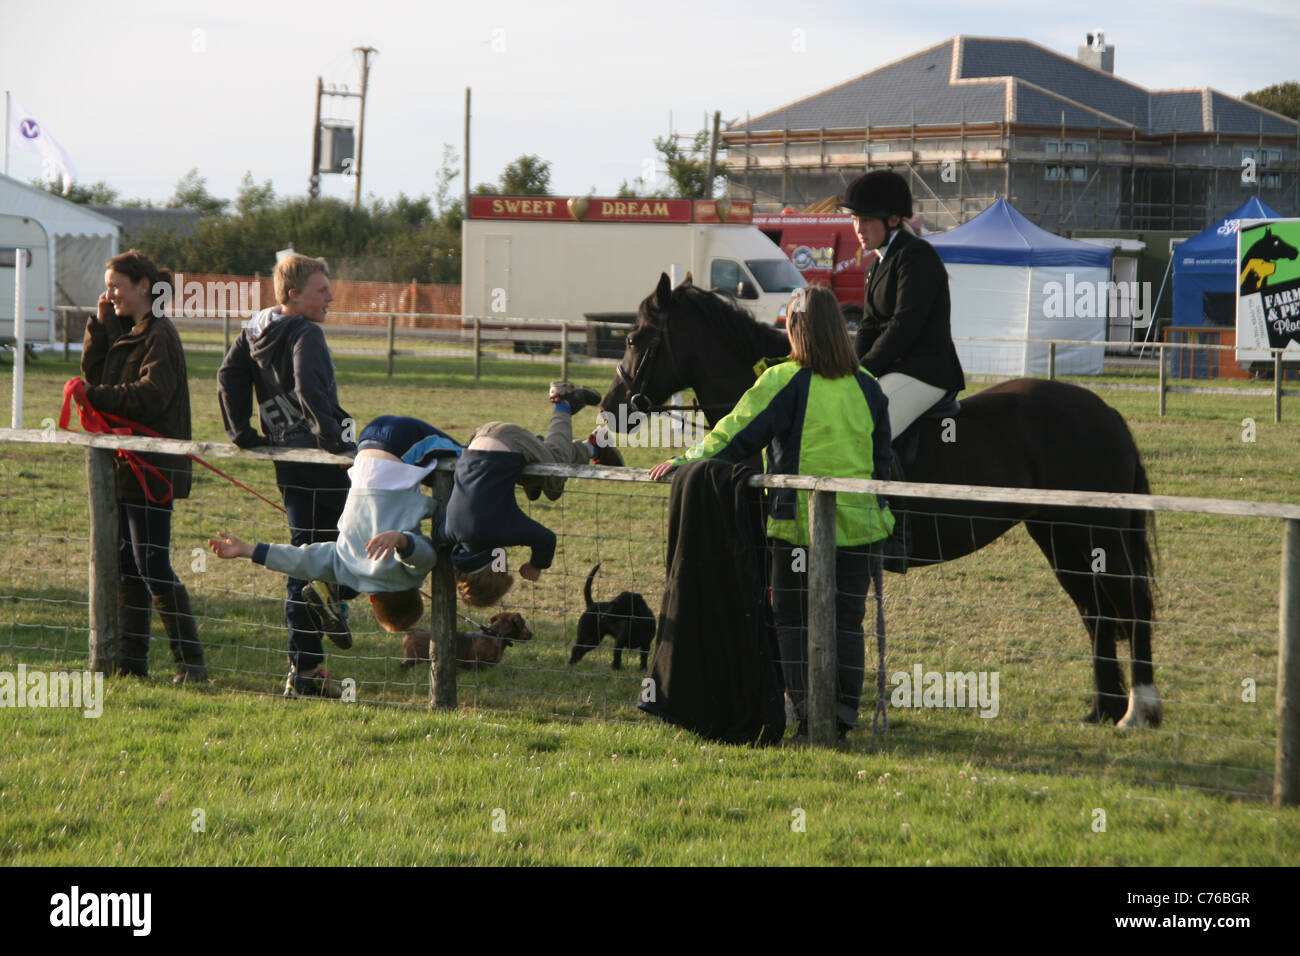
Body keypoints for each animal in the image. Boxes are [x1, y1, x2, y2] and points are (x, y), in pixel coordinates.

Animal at [603, 273, 1164, 728]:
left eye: (632, 339)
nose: (611, 408)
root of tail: (1106, 412)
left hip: (1095, 532)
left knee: (1131, 606)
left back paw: (1138, 709)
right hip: (1060, 535)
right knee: (1096, 611)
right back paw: (1102, 708)